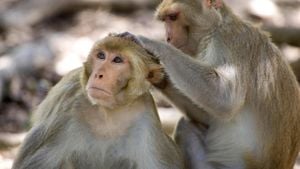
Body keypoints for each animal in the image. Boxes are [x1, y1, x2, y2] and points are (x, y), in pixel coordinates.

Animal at [11, 35, 184, 169]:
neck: (109, 111)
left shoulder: (147, 120)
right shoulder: (67, 109)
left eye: (117, 60)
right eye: (101, 56)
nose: (98, 74)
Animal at [118, 0, 300, 168]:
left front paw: (150, 43)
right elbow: (208, 116)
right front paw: (157, 76)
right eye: (165, 20)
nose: (168, 37)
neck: (215, 29)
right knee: (186, 126)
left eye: (173, 17)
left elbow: (225, 98)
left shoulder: (230, 40)